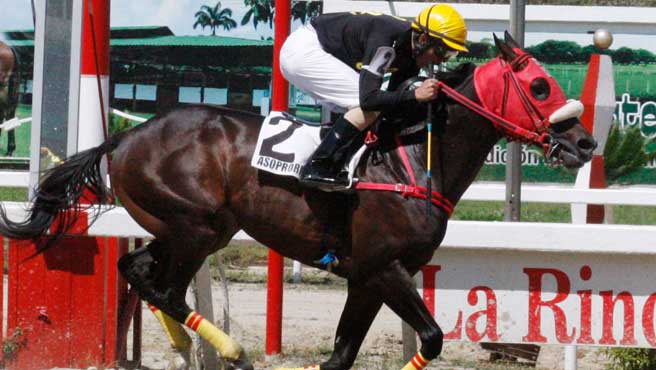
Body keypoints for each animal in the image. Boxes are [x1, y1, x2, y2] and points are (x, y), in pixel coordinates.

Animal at [0, 34, 596, 370]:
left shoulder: (366, 278)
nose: (586, 143)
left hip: (188, 228)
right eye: (540, 87)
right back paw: (233, 353)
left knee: (138, 271)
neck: (413, 157)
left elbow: (341, 356)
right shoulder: (385, 268)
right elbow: (430, 337)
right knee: (163, 286)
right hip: (196, 226)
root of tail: (125, 138)